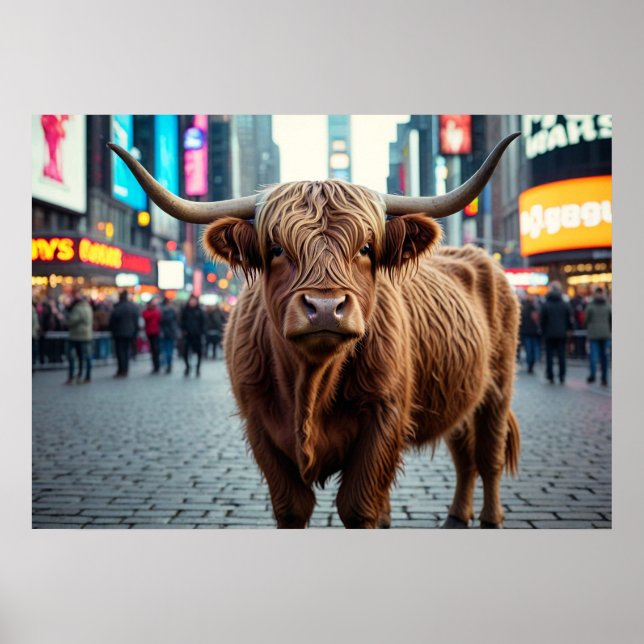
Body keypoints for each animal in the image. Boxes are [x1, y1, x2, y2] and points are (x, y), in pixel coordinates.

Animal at [108, 132, 521, 529]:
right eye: (276, 248)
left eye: (366, 248)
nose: (325, 308)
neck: (310, 385)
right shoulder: (258, 424)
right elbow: (292, 507)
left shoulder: (384, 417)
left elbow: (358, 506)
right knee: (464, 454)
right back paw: (456, 515)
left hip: (498, 388)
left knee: (488, 456)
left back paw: (491, 518)